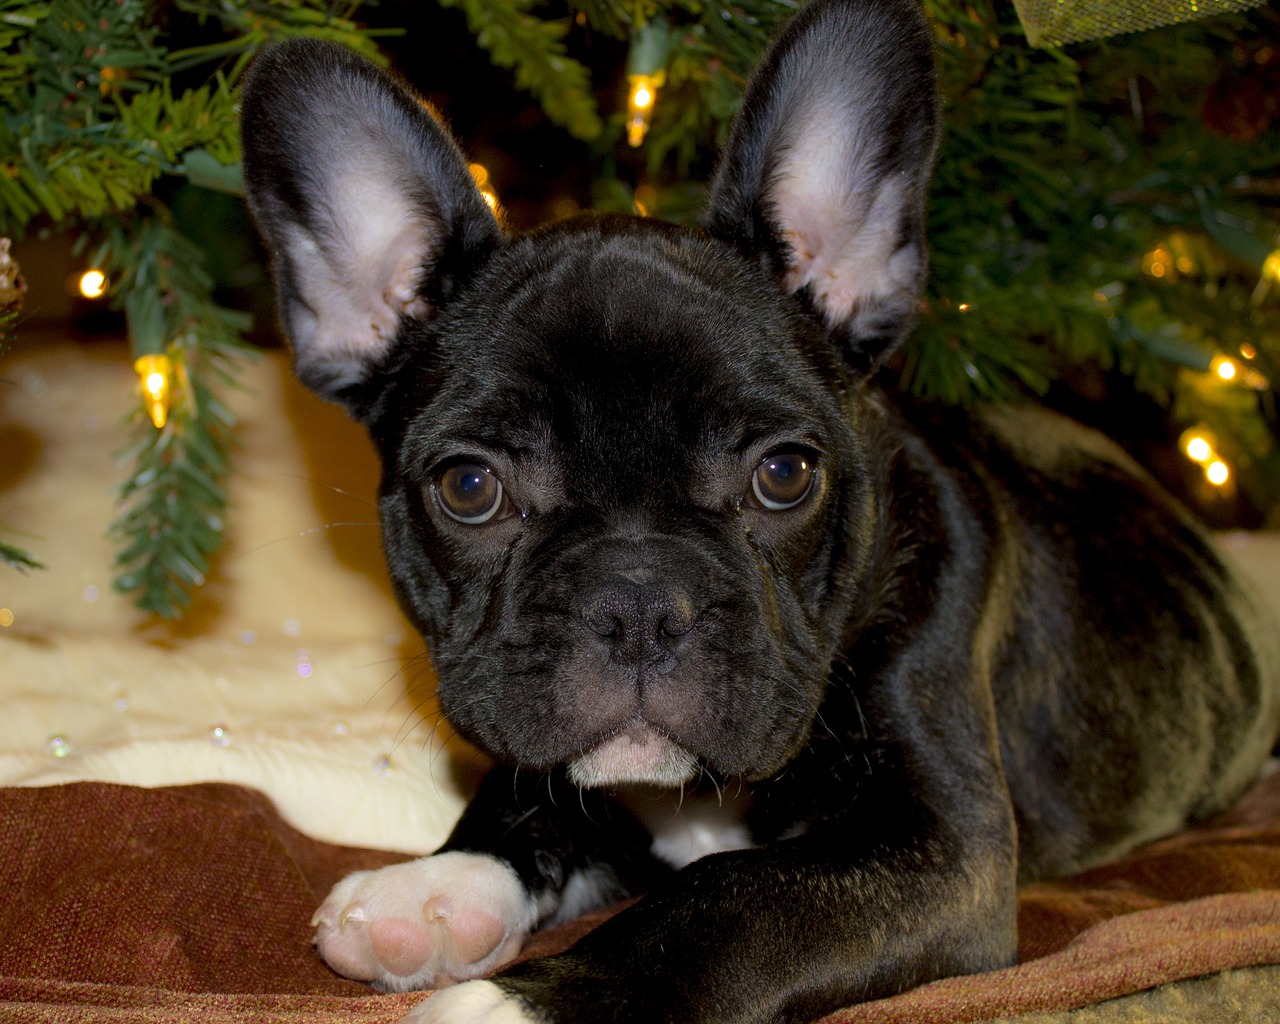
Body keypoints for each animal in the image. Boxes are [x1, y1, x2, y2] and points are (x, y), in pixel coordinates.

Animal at [240, 2, 1280, 1024]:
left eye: (785, 473)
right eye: (469, 488)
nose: (638, 604)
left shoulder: (942, 845)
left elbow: (730, 890)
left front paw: (528, 1002)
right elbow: (527, 795)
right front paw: (437, 885)